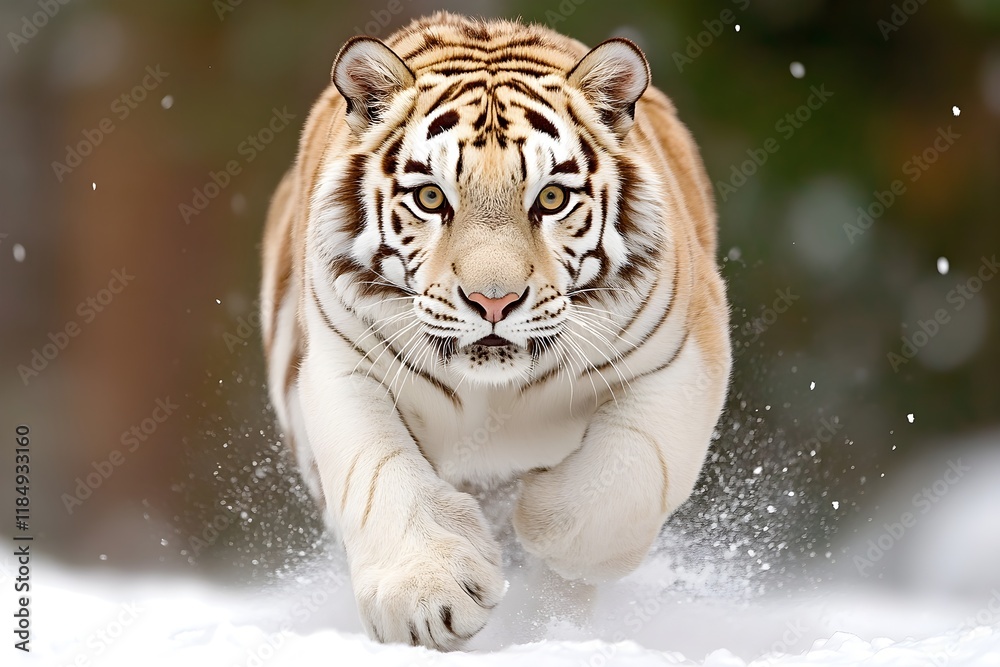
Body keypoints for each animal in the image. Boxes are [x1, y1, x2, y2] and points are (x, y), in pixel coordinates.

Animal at [260, 12, 731, 650]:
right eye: (430, 197)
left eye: (551, 197)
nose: (493, 300)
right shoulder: (343, 366)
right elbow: (379, 473)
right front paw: (428, 598)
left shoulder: (682, 358)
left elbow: (628, 474)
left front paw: (544, 527)